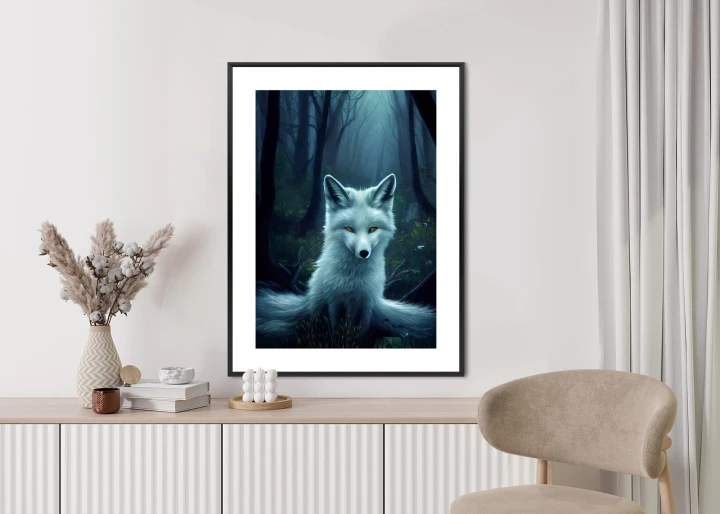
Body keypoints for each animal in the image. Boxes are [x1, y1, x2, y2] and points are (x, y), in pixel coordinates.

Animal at [256, 173, 436, 340]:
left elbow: (362, 330)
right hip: (317, 305)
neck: (353, 278)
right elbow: (336, 328)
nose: (363, 253)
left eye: (372, 229)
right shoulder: (334, 300)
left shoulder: (367, 302)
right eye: (349, 228)